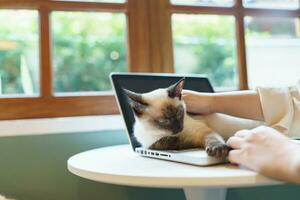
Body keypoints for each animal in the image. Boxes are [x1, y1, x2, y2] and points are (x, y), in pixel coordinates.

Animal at [123, 78, 262, 158]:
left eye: (180, 113)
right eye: (164, 121)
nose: (179, 128)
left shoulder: (202, 132)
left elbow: (213, 139)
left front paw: (218, 150)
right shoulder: (152, 144)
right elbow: (163, 144)